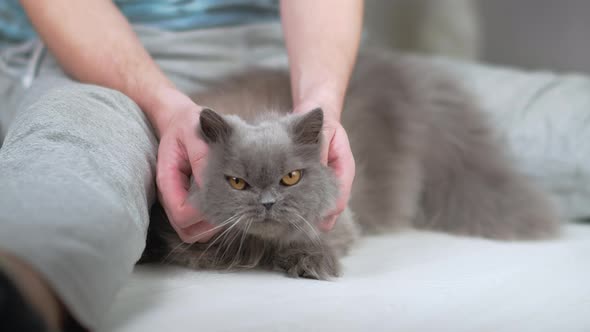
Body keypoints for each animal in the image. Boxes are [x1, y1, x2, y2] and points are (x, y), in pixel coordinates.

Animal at [142, 52, 560, 280]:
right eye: (238, 183)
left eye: (291, 177)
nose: (268, 203)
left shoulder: (339, 219)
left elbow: (314, 238)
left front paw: (311, 264)